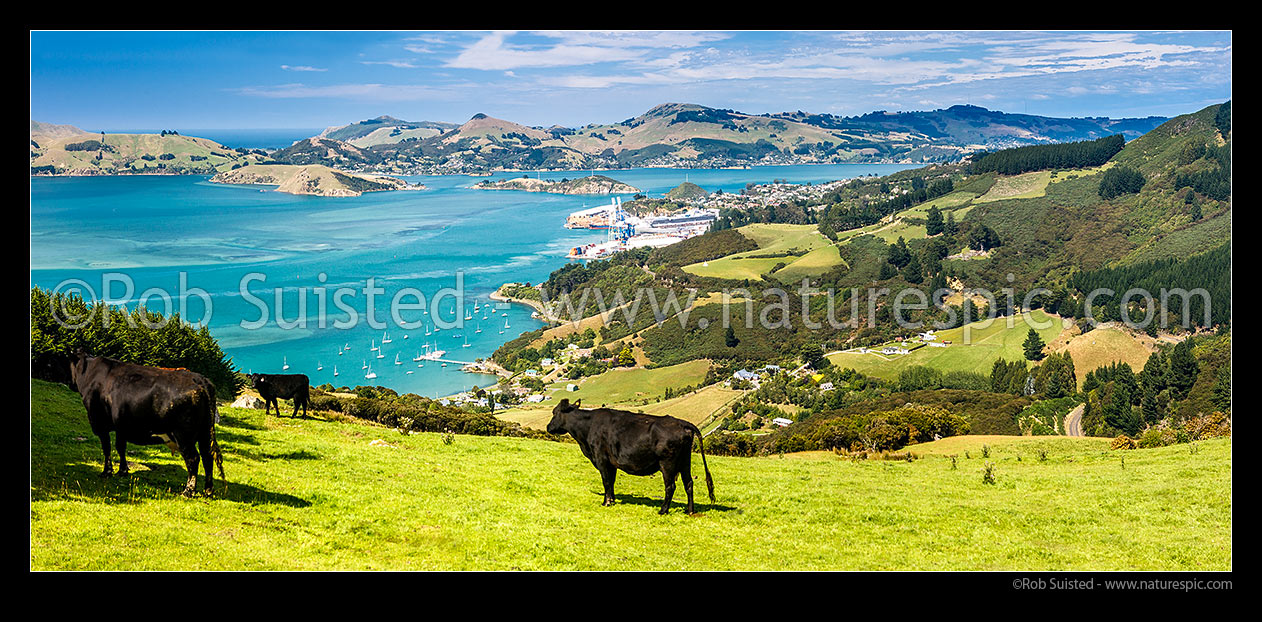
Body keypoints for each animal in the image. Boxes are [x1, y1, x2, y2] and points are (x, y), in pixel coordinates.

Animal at [67, 353, 224, 494]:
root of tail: (199, 379)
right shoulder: (121, 427)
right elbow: (120, 447)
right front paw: (122, 471)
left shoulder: (99, 423)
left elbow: (107, 448)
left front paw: (107, 472)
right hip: (205, 433)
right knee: (207, 456)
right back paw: (208, 490)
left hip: (184, 435)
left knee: (193, 458)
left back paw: (188, 491)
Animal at [547, 398, 716, 514]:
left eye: (554, 412)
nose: (548, 427)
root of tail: (681, 423)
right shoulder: (612, 463)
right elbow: (611, 481)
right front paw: (612, 500)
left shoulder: (601, 459)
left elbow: (606, 481)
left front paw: (606, 502)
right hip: (685, 461)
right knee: (689, 483)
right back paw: (690, 511)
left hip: (668, 463)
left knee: (670, 486)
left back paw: (663, 510)